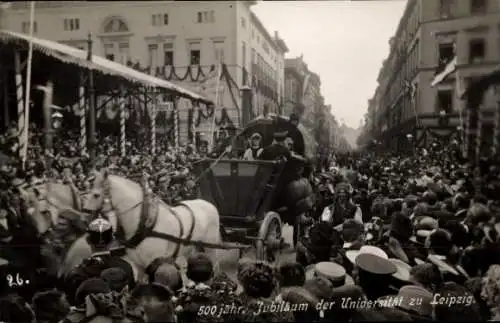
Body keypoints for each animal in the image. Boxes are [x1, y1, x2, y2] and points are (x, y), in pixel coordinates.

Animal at [60, 170, 221, 280]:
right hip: (190, 249)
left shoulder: (154, 262)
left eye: (96, 195)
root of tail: (208, 204)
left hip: (210, 248)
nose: (83, 217)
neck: (146, 224)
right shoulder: (139, 265)